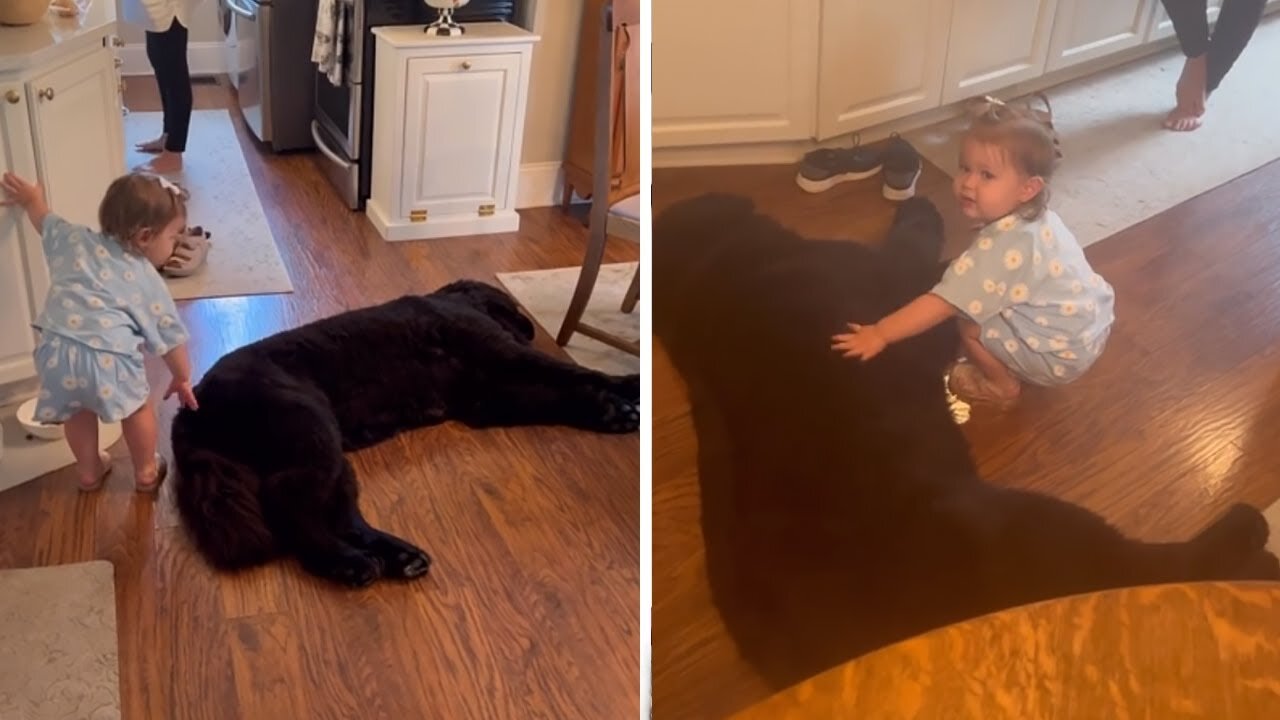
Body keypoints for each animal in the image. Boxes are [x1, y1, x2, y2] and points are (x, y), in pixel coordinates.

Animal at [170, 278, 640, 586]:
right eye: (515, 310)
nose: (530, 330)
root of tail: (193, 403)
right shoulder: (503, 355)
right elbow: (576, 372)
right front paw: (627, 386)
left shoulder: (487, 399)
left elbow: (558, 396)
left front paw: (608, 412)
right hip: (312, 428)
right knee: (287, 501)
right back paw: (347, 564)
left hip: (330, 454)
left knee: (340, 515)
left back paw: (398, 556)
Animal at [655, 190, 1274, 691]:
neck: (713, 263)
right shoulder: (895, 280)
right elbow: (921, 253)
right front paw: (924, 211)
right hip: (1036, 530)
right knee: (1150, 571)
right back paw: (1251, 540)